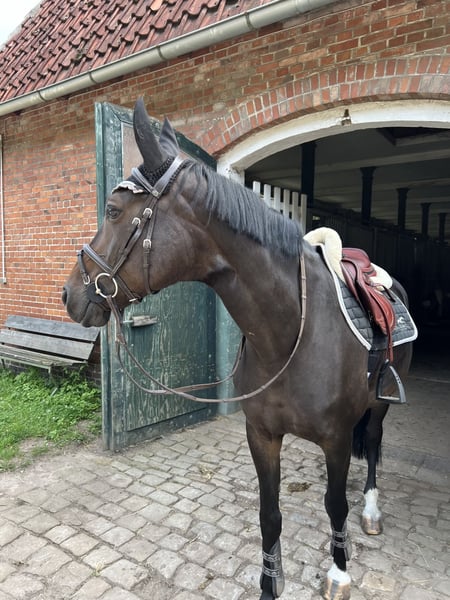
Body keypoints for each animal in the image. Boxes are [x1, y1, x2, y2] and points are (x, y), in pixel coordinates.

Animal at [62, 98, 413, 600]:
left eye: (112, 209)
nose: (70, 295)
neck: (290, 334)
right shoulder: (261, 434)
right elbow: (269, 515)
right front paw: (269, 585)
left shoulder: (337, 438)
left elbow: (334, 506)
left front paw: (340, 572)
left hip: (379, 406)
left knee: (375, 445)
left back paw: (371, 511)